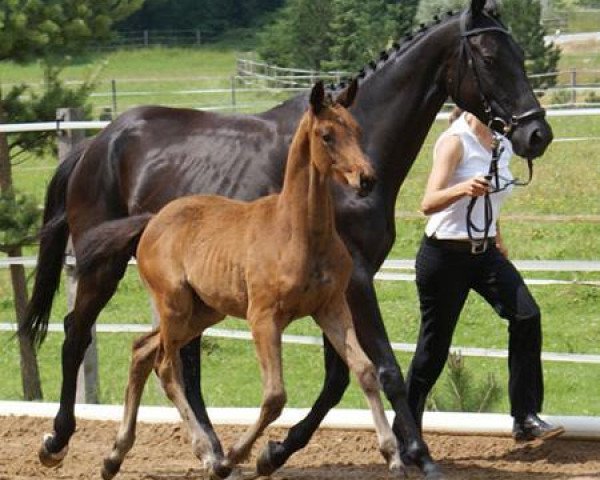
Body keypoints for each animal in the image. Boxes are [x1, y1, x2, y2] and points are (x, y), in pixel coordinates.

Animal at [23, 1, 552, 478]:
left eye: (520, 53)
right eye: (488, 56)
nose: (537, 133)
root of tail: (96, 142)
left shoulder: (335, 288)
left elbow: (341, 375)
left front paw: (274, 451)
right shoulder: (357, 280)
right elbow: (385, 369)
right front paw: (419, 456)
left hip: (193, 296)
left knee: (176, 361)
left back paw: (212, 450)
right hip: (103, 268)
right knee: (78, 333)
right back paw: (57, 441)